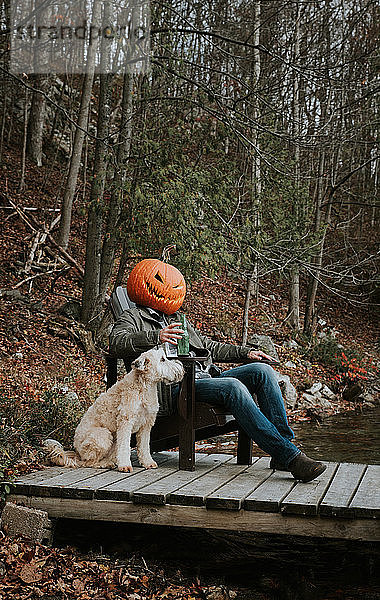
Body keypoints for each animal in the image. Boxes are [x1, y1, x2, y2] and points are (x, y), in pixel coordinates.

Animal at [43, 346, 185, 474]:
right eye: (162, 359)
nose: (181, 367)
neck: (144, 387)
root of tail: (77, 452)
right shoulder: (125, 422)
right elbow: (124, 447)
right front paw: (125, 466)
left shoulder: (146, 425)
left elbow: (144, 446)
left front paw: (147, 462)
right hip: (103, 435)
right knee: (88, 462)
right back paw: (105, 464)